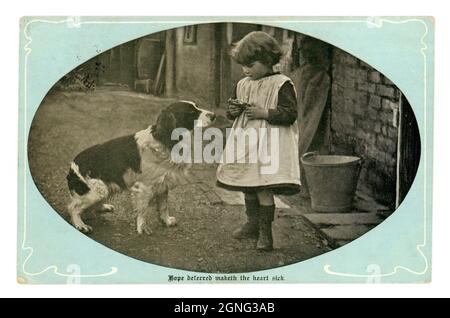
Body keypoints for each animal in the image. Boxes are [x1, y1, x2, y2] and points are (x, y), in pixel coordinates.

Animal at [65, 100, 216, 235]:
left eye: (197, 106)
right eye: (191, 112)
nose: (214, 115)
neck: (165, 142)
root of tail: (72, 166)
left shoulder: (163, 183)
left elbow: (163, 206)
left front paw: (166, 221)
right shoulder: (145, 186)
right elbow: (143, 210)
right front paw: (143, 228)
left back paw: (104, 207)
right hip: (97, 190)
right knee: (73, 207)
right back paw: (80, 225)